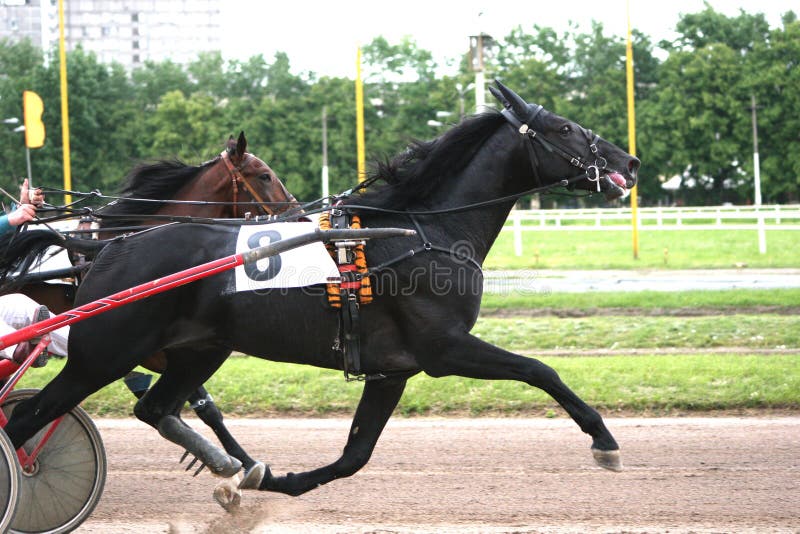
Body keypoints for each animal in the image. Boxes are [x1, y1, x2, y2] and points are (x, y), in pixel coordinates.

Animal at [1, 82, 636, 498]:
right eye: (563, 128)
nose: (628, 160)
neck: (417, 231)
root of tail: (108, 248)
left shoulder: (392, 368)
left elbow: (354, 455)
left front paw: (274, 479)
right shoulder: (444, 348)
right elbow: (540, 370)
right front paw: (604, 439)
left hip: (199, 350)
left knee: (156, 406)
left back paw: (233, 466)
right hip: (103, 353)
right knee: (27, 417)